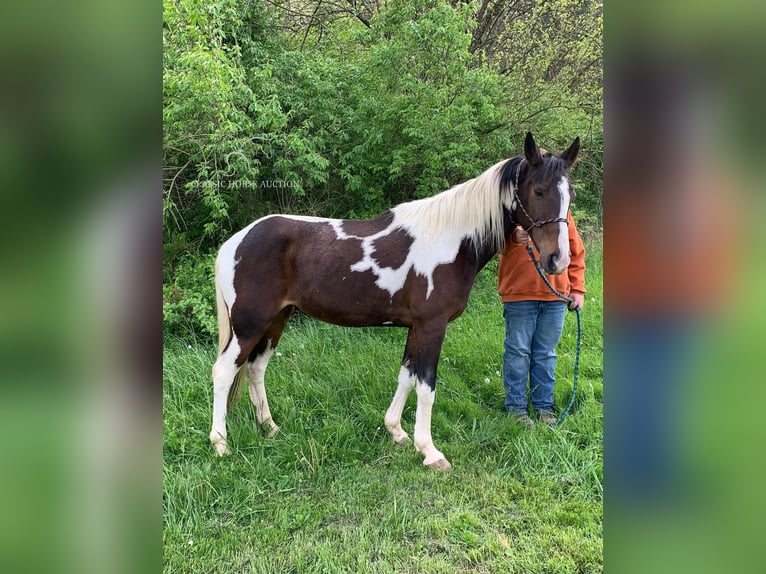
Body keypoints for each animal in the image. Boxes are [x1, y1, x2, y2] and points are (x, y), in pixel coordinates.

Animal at [207, 132, 580, 472]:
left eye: (569, 195)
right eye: (539, 190)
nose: (558, 260)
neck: (451, 240)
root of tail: (235, 242)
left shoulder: (416, 327)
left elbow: (406, 377)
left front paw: (397, 432)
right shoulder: (432, 326)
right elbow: (427, 386)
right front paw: (430, 452)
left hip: (276, 320)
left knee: (255, 368)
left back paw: (269, 427)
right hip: (249, 325)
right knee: (224, 371)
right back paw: (221, 444)